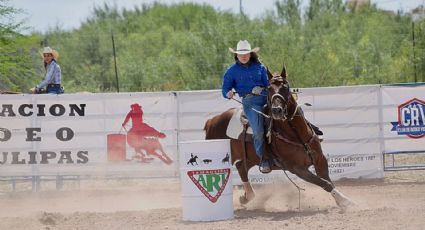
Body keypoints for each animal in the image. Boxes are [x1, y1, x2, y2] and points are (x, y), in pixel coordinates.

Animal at [204, 64, 352, 210]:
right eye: (269, 88)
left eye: (285, 87)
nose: (276, 110)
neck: (297, 135)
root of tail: (211, 121)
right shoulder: (298, 169)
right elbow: (324, 183)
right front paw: (346, 201)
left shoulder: (320, 159)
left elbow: (328, 181)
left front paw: (342, 200)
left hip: (251, 157)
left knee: (241, 167)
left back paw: (247, 197)